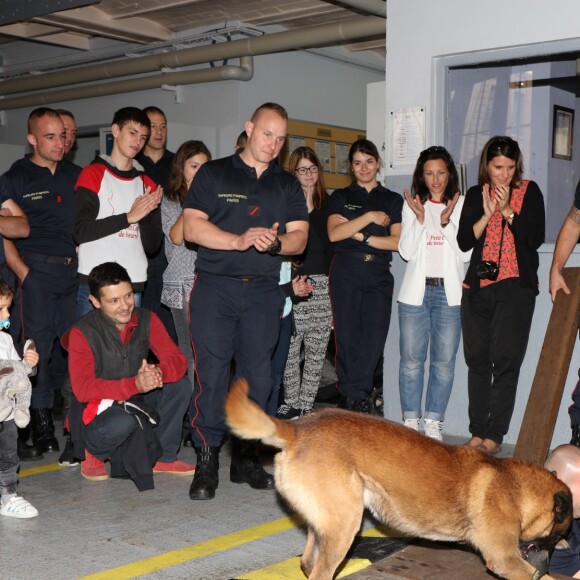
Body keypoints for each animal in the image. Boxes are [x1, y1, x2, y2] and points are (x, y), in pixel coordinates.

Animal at [224, 378, 572, 580]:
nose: (549, 562)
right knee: (319, 571)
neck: (515, 486)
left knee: (308, 563)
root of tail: (296, 430)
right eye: (555, 535)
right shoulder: (505, 559)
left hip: (327, 524)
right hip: (345, 526)